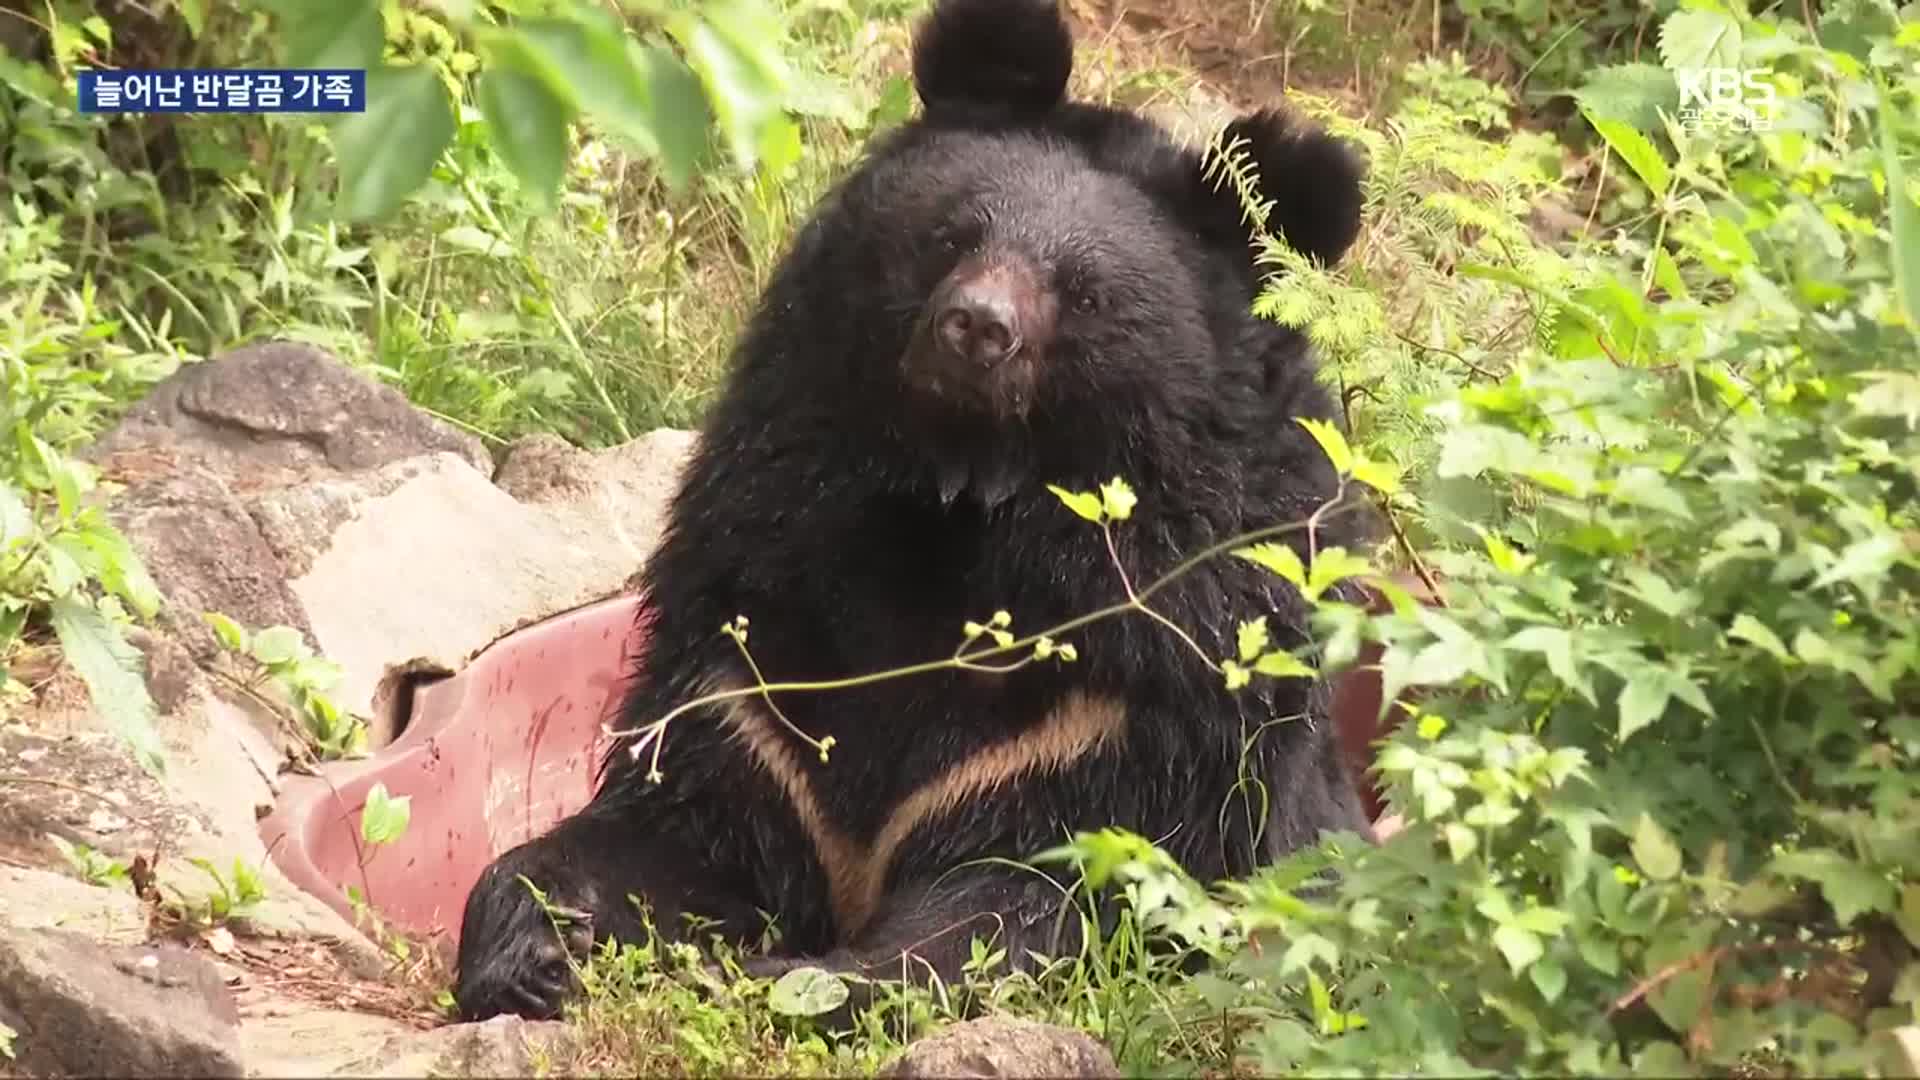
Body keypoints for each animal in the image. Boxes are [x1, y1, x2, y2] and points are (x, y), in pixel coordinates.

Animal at [449, 0, 1382, 1014]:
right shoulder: (754, 657)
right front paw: (533, 947)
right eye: (951, 236)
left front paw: (808, 979)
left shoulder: (1140, 715)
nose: (976, 326)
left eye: (1085, 292)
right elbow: (677, 819)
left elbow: (1024, 905)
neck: (955, 512)